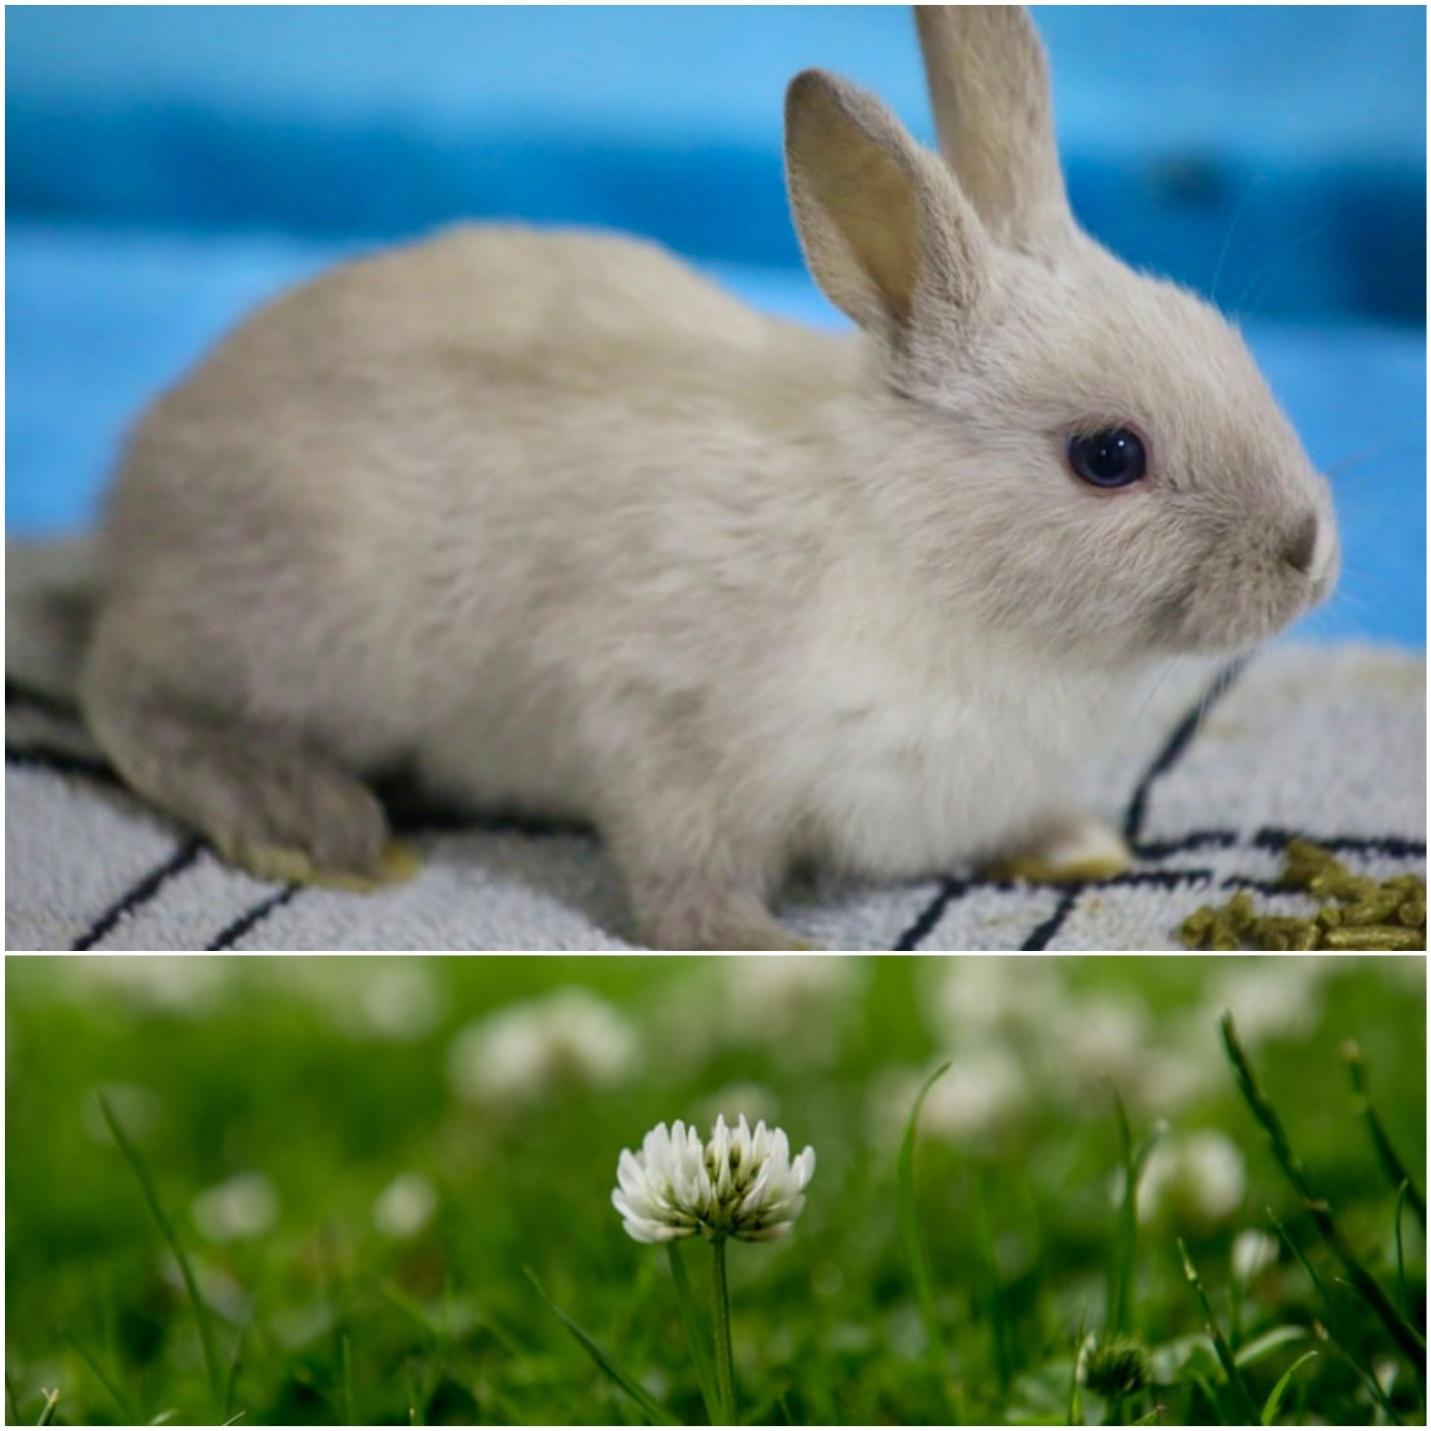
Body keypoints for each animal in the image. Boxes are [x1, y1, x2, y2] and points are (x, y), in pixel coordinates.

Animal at [41, 5, 1335, 949]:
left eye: (1227, 340)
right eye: (1108, 457)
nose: (1309, 555)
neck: (916, 546)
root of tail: (129, 516)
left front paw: (1082, 848)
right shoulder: (662, 727)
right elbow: (681, 872)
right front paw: (765, 948)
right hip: (302, 627)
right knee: (127, 690)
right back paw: (311, 826)